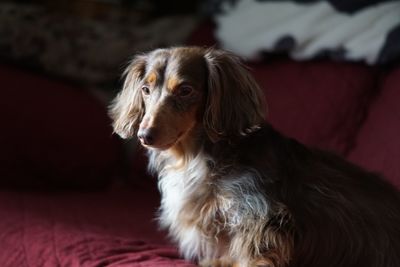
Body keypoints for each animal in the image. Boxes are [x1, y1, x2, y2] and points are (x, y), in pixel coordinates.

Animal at [109, 47, 400, 266]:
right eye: (145, 89)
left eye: (185, 90)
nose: (145, 135)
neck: (197, 155)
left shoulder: (261, 216)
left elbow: (253, 253)